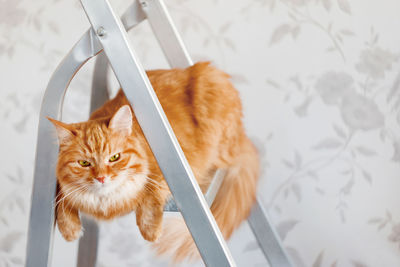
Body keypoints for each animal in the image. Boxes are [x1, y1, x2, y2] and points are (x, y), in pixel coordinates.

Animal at [49, 61, 260, 262]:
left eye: (115, 157)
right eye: (84, 163)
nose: (101, 178)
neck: (107, 203)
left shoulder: (169, 172)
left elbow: (150, 196)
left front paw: (150, 230)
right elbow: (62, 198)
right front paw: (70, 230)